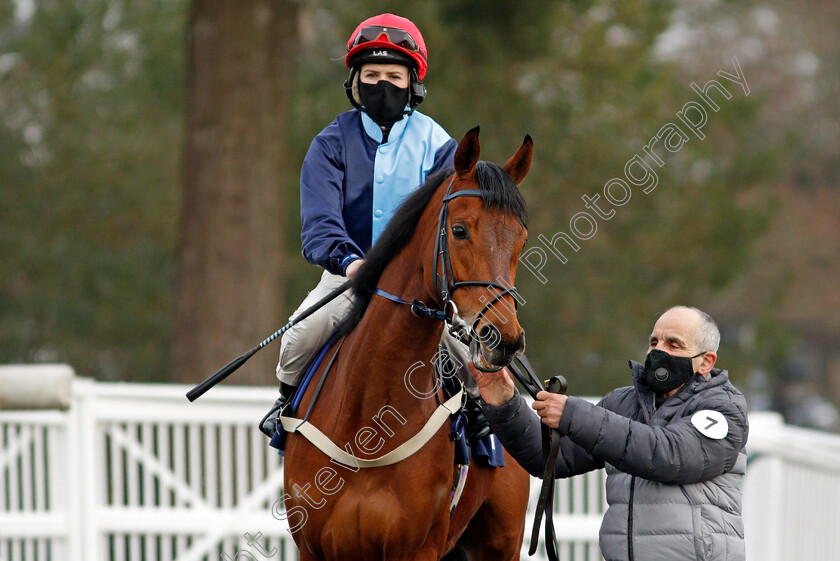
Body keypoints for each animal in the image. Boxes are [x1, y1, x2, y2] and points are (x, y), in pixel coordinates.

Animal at [282, 127, 532, 560]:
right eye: (460, 230)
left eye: (520, 238)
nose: (504, 338)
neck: (367, 425)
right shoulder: (311, 549)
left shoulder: (417, 548)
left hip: (500, 543)